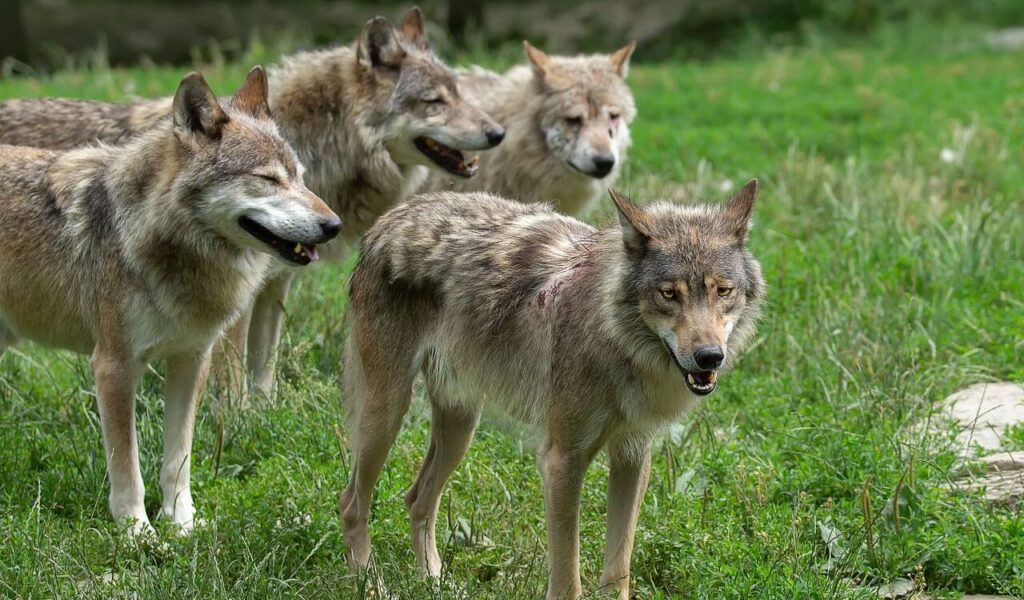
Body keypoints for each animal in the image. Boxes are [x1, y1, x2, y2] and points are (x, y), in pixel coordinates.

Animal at [0, 7, 504, 397]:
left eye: (458, 93)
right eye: (434, 102)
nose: (498, 133)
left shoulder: (273, 286)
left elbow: (264, 366)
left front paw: (264, 414)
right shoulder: (233, 303)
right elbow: (232, 377)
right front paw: (235, 421)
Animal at [0, 67, 339, 535]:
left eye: (301, 178)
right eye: (268, 179)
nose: (334, 225)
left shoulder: (192, 360)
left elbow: (177, 460)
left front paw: (182, 527)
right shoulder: (114, 366)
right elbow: (128, 467)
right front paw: (138, 534)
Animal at [340, 181, 766, 599]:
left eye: (723, 291)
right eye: (669, 294)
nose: (709, 357)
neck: (616, 343)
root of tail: (391, 218)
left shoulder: (632, 454)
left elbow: (618, 570)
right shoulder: (562, 462)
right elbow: (566, 580)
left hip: (460, 426)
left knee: (417, 500)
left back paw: (433, 581)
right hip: (387, 417)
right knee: (351, 504)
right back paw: (370, 586)